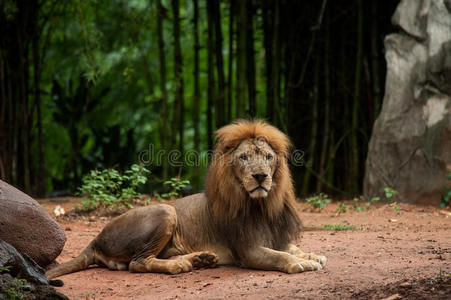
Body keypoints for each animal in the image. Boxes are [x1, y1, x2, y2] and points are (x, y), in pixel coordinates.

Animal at [47, 119, 326, 278]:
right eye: (244, 157)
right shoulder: (248, 250)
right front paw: (300, 263)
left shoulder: (278, 237)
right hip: (165, 210)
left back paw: (200, 259)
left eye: (268, 157)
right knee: (138, 263)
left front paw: (312, 256)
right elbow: (280, 256)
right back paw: (179, 266)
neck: (261, 204)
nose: (260, 176)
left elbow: (293, 248)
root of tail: (96, 238)